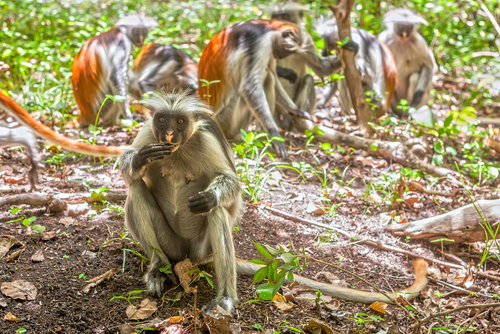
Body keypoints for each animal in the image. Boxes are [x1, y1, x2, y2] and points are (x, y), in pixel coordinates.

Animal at [198, 19, 312, 159]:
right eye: (288, 51)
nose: (281, 57)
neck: (268, 27)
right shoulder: (262, 42)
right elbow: (249, 87)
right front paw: (274, 134)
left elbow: (273, 75)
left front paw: (296, 110)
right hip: (227, 120)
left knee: (269, 76)